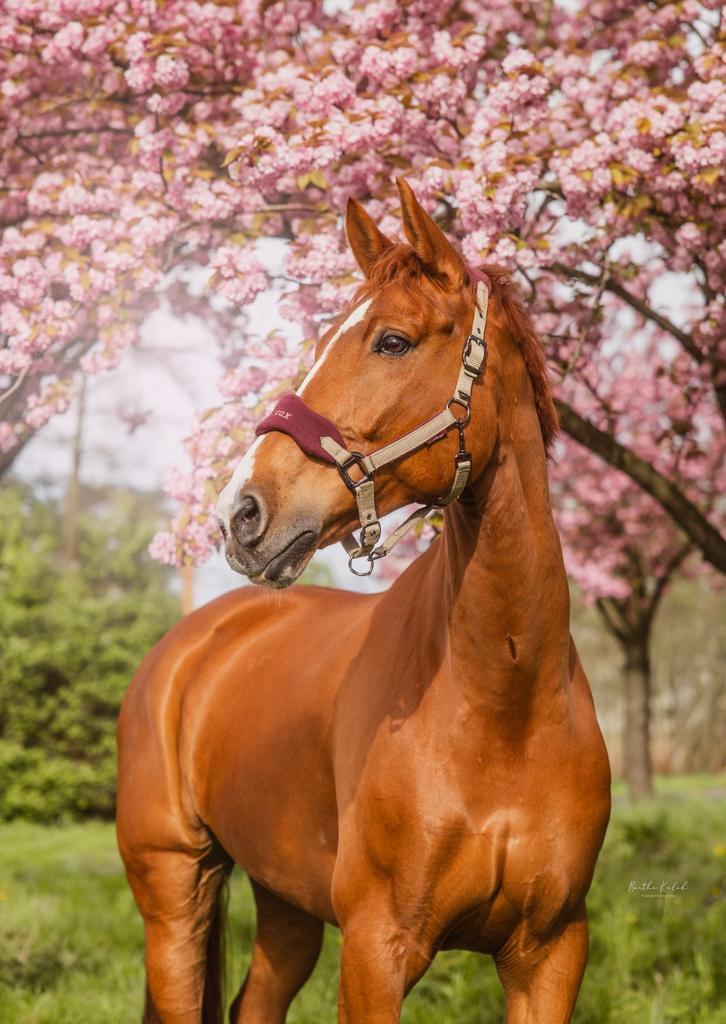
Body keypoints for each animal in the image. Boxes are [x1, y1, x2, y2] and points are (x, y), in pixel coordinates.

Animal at [117, 178, 611, 1024]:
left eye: (392, 342)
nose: (240, 512)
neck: (505, 706)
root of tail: (186, 646)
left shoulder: (549, 953)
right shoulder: (378, 949)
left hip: (285, 905)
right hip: (173, 891)